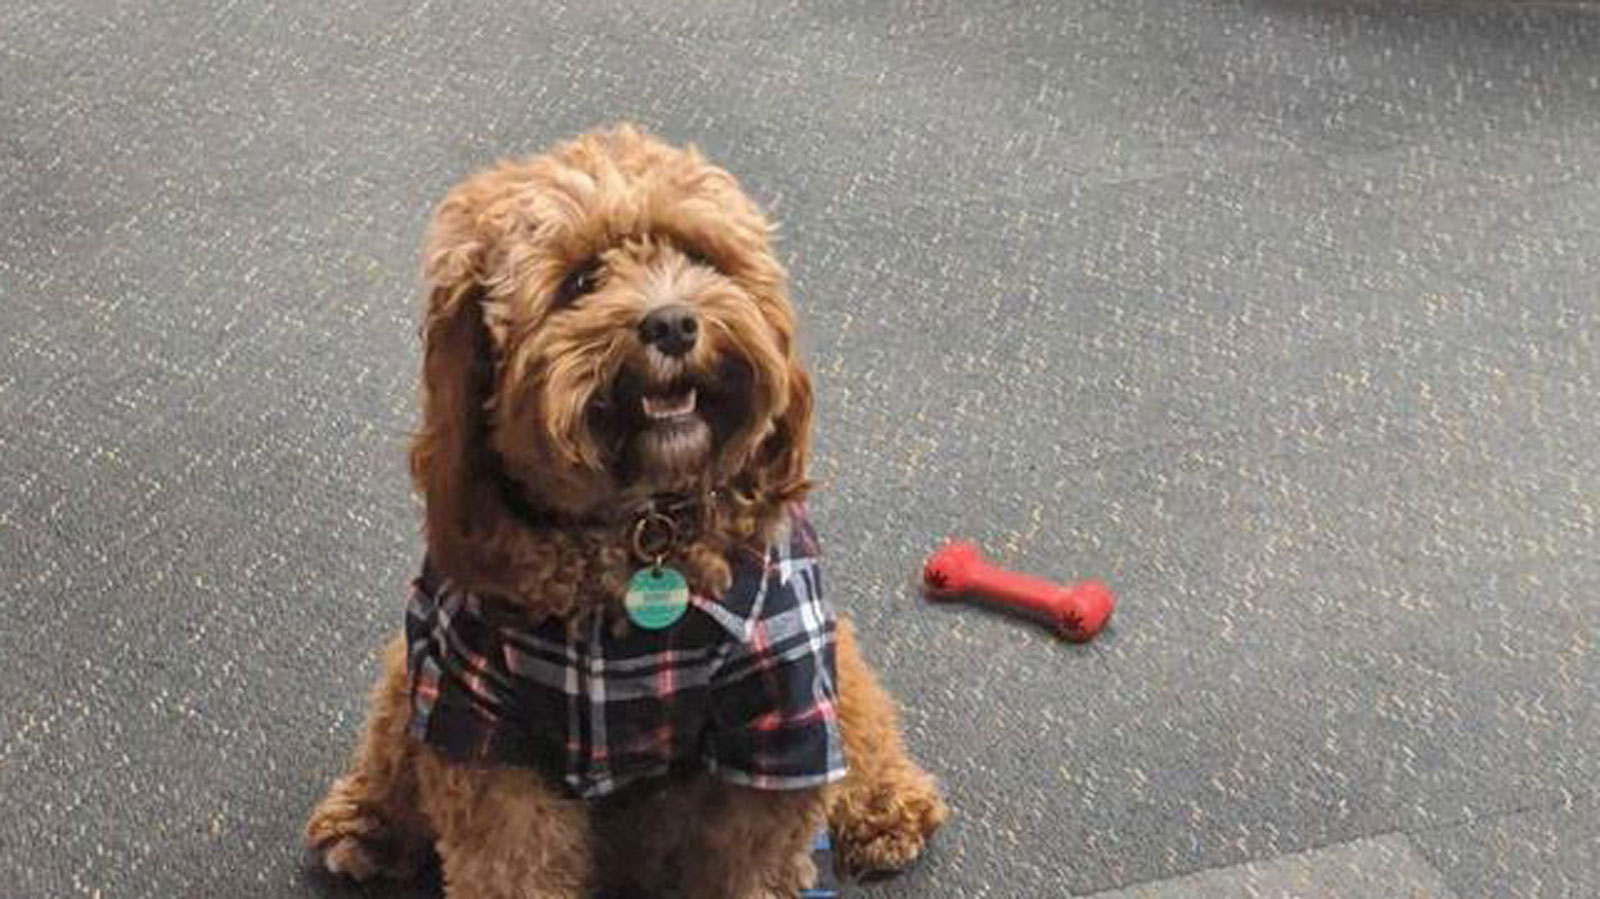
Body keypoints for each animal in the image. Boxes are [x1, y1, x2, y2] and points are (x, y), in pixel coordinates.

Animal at [305, 126, 940, 895]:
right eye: (582, 281)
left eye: (698, 257)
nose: (672, 322)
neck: (645, 533)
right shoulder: (481, 721)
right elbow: (512, 861)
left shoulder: (777, 711)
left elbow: (751, 859)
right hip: (415, 674)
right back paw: (366, 823)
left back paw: (888, 808)